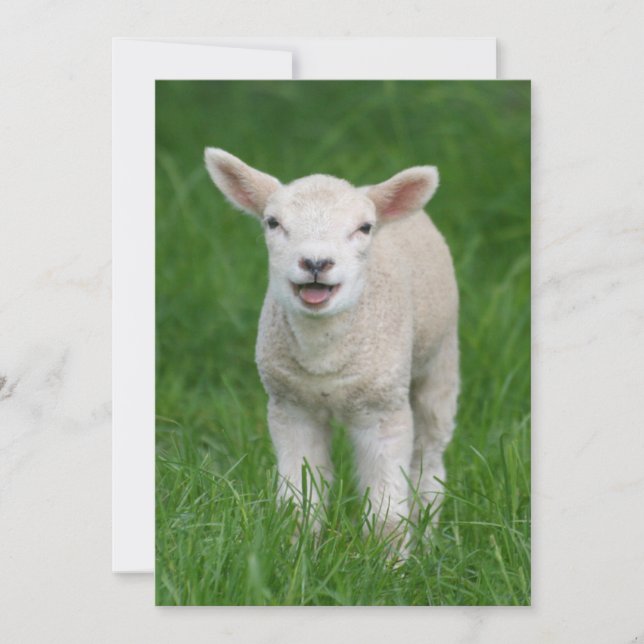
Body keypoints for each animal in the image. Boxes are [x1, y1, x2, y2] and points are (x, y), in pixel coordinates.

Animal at [204, 148, 459, 543]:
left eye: (364, 228)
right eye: (272, 222)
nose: (315, 262)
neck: (322, 357)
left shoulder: (383, 411)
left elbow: (387, 510)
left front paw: (387, 559)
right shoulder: (291, 407)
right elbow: (299, 500)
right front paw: (295, 548)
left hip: (440, 359)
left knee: (429, 455)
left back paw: (428, 532)